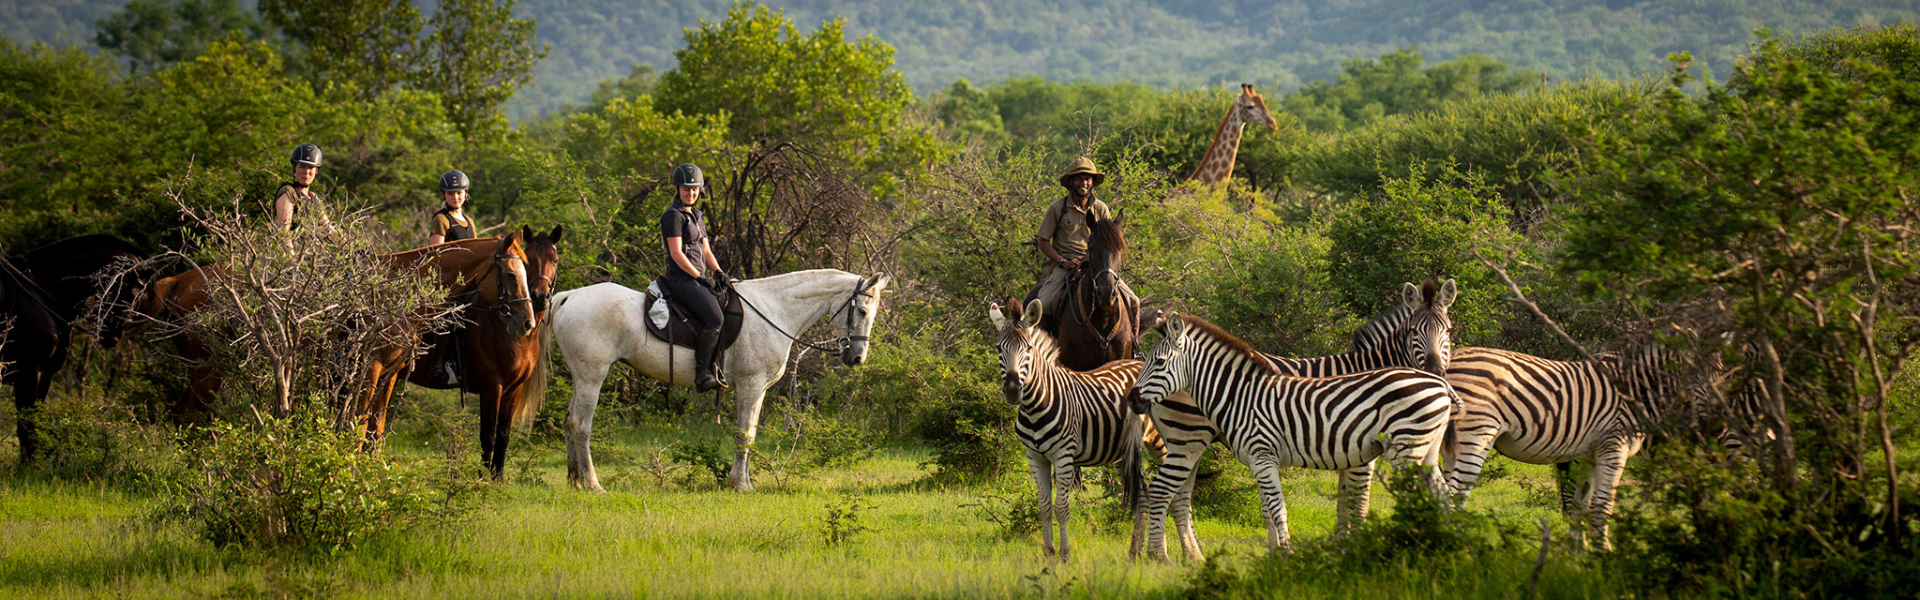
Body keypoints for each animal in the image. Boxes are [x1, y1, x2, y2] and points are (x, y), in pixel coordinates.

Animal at [2, 234, 145, 463]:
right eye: (126, 291)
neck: (43, 296)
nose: (113, 338)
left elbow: (36, 424)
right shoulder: (29, 372)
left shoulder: (46, 374)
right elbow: (26, 427)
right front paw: (27, 467)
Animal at [399, 226, 562, 479]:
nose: (539, 296)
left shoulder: (513, 389)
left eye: (554, 260)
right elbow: (489, 434)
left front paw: (498, 477)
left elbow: (504, 433)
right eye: (529, 261)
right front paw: (483, 478)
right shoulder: (492, 386)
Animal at [547, 269, 892, 492]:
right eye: (862, 311)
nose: (857, 358)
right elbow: (744, 434)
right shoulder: (751, 385)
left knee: (569, 422)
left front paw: (745, 481)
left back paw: (575, 482)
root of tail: (567, 298)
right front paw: (740, 485)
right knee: (581, 425)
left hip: (581, 377)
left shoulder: (759, 390)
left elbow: (750, 434)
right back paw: (593, 484)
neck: (775, 311)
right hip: (592, 376)